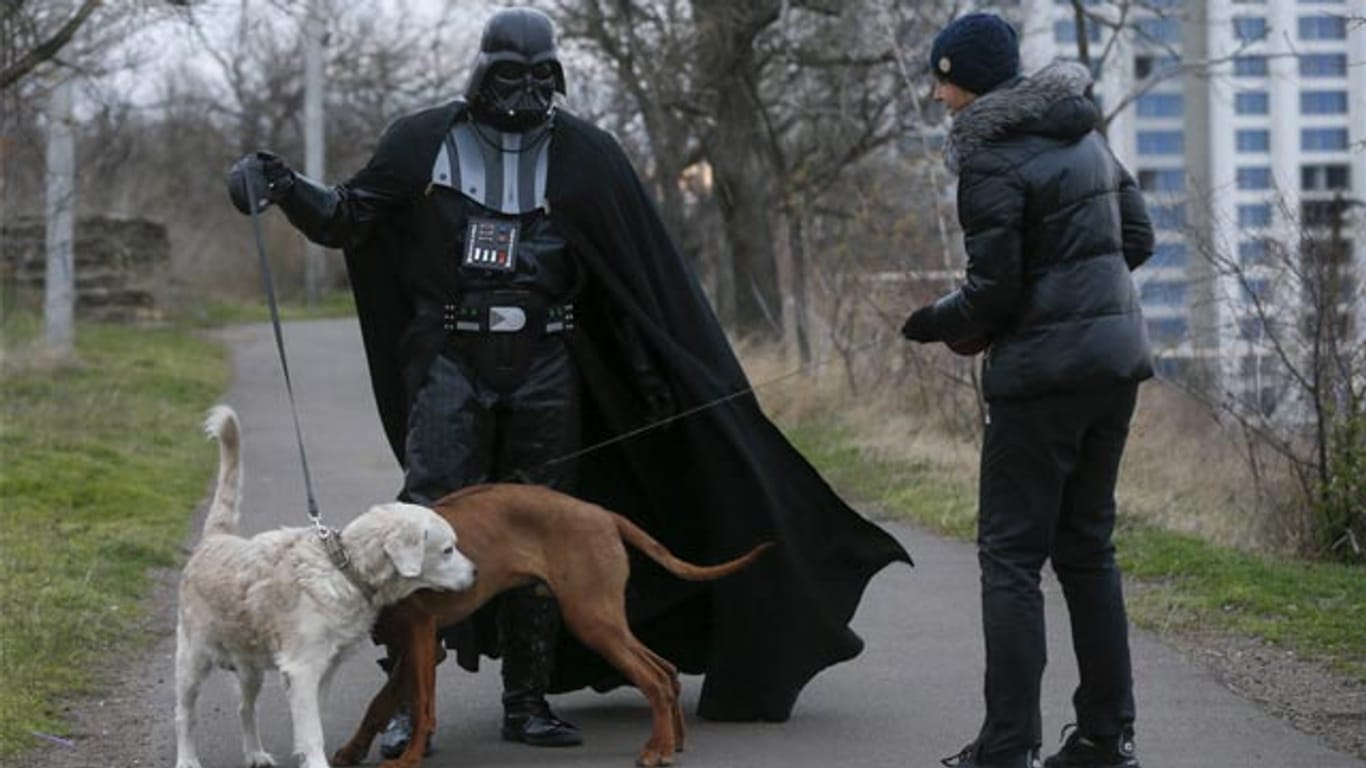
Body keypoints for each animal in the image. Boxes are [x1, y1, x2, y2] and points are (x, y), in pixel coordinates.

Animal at [173, 404, 478, 759]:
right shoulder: (303, 669)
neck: (343, 568)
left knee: (245, 708)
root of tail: (214, 540)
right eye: (447, 550)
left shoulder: (325, 670)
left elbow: (312, 724)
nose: (476, 572)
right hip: (192, 661)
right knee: (185, 716)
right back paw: (187, 760)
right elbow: (312, 732)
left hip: (249, 666)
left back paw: (255, 755)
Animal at [330, 483, 775, 765]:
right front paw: (353, 751)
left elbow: (422, 706)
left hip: (592, 619)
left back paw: (657, 749)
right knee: (665, 669)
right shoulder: (419, 646)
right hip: (605, 618)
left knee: (654, 679)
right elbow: (380, 702)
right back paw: (673, 740)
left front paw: (408, 759)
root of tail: (603, 514)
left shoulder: (422, 636)